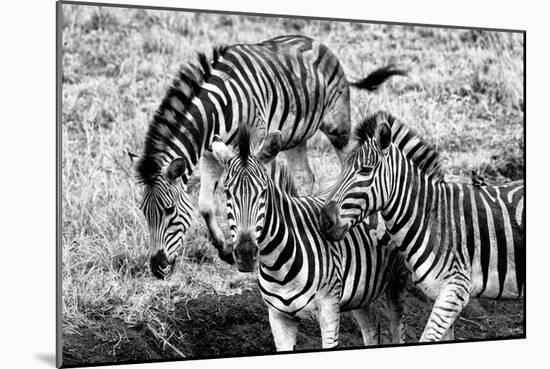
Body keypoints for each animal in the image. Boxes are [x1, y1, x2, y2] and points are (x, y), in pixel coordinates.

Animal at [135, 34, 408, 278]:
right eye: (144, 212)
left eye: (169, 210)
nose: (157, 268)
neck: (216, 110)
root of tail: (320, 44)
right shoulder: (210, 155)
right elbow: (204, 205)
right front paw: (224, 249)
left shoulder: (256, 143)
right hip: (296, 137)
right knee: (306, 177)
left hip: (337, 126)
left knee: (350, 164)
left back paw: (369, 224)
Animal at [211, 127, 410, 350]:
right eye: (227, 193)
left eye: (263, 193)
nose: (245, 254)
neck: (278, 264)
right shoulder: (278, 317)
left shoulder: (329, 309)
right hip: (362, 291)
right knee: (371, 328)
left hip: (397, 281)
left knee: (397, 329)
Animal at [320, 110, 528, 340]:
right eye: (342, 169)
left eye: (365, 171)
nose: (324, 220)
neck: (431, 219)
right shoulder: (440, 293)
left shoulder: (455, 290)